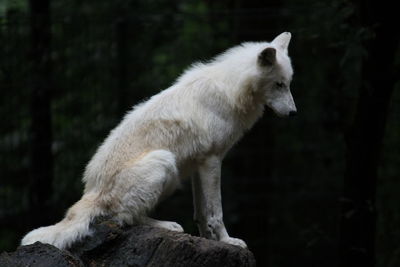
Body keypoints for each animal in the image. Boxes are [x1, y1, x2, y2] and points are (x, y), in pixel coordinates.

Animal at [22, 32, 296, 250]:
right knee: (125, 218)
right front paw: (228, 240)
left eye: (288, 84)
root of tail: (91, 192)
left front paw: (208, 240)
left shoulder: (199, 165)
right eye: (279, 84)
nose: (294, 113)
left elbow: (201, 212)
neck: (232, 90)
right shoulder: (212, 160)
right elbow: (216, 212)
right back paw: (167, 225)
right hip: (165, 162)